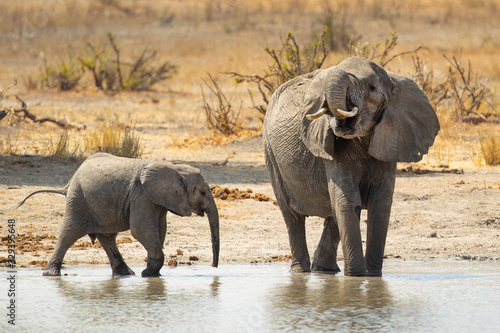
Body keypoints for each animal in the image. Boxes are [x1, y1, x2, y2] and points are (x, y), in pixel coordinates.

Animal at [18, 152, 218, 274]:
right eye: (202, 192)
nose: (214, 266)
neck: (175, 167)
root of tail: (69, 183)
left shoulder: (157, 199)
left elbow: (160, 230)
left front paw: (151, 274)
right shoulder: (142, 195)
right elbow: (140, 230)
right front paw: (148, 274)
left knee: (107, 238)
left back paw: (126, 274)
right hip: (78, 199)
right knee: (69, 233)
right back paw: (51, 273)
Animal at [264, 56, 440, 274]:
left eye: (371, 87)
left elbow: (380, 203)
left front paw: (372, 276)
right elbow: (347, 200)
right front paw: (357, 276)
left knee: (332, 216)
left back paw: (325, 271)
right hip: (270, 152)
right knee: (292, 217)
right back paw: (300, 272)